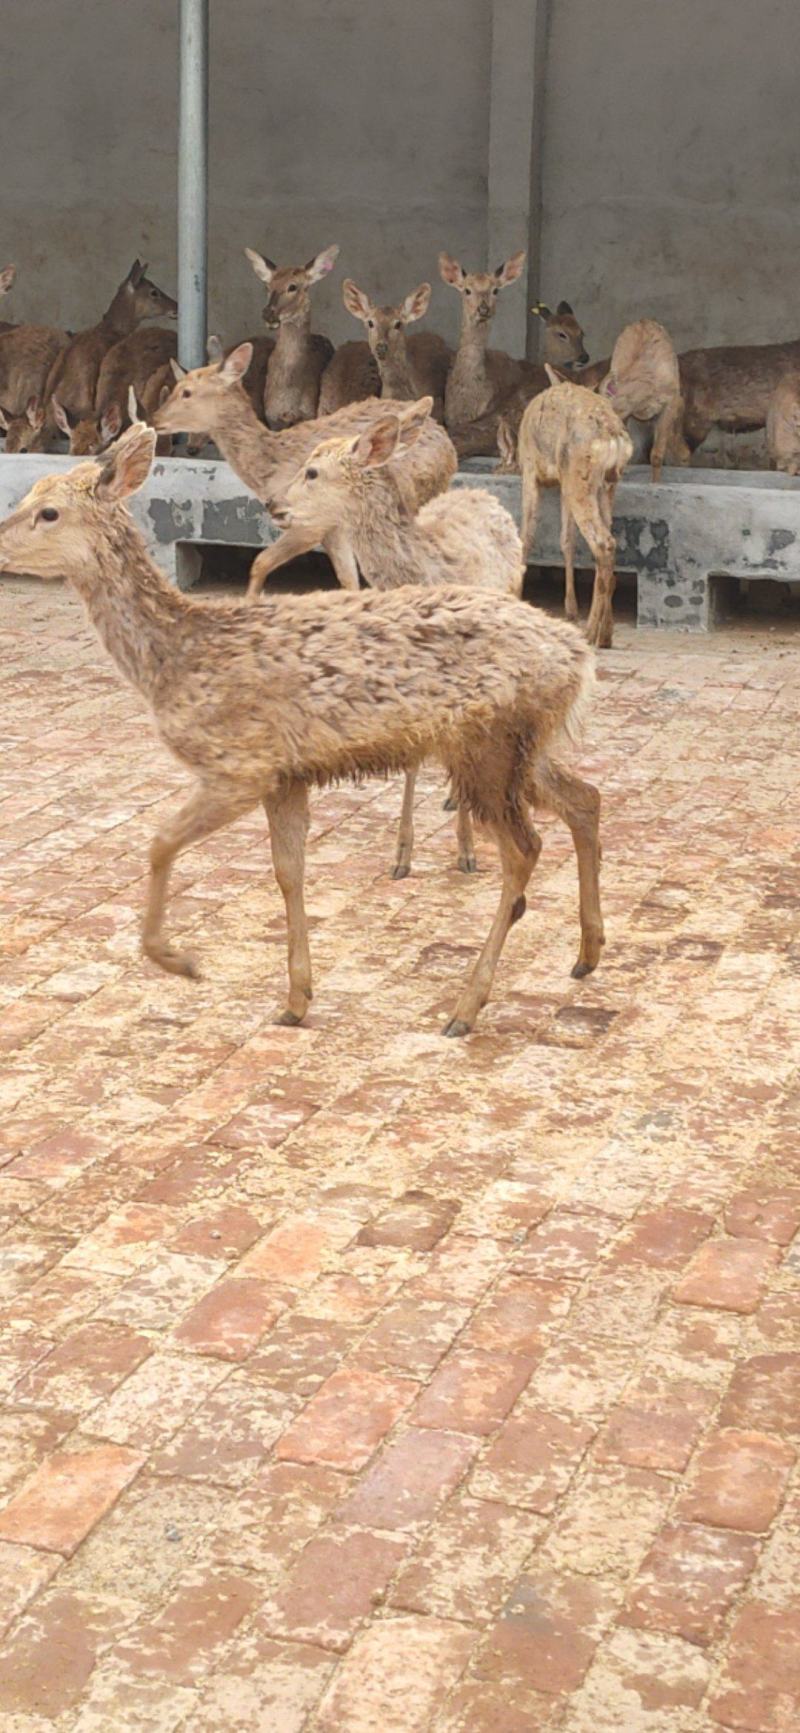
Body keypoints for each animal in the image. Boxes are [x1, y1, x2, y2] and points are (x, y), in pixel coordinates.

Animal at [153, 342, 457, 591]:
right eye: (178, 388)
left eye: (187, 392)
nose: (155, 419)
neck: (268, 469)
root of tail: (450, 449)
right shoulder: (335, 528)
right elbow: (348, 579)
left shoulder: (310, 522)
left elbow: (261, 561)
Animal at [516, 368, 633, 650]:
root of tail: (612, 435)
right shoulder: (561, 483)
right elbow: (566, 539)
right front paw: (570, 610)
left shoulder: (529, 469)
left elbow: (526, 536)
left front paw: (514, 595)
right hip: (602, 484)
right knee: (607, 545)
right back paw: (605, 633)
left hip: (579, 476)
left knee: (603, 542)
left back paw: (591, 633)